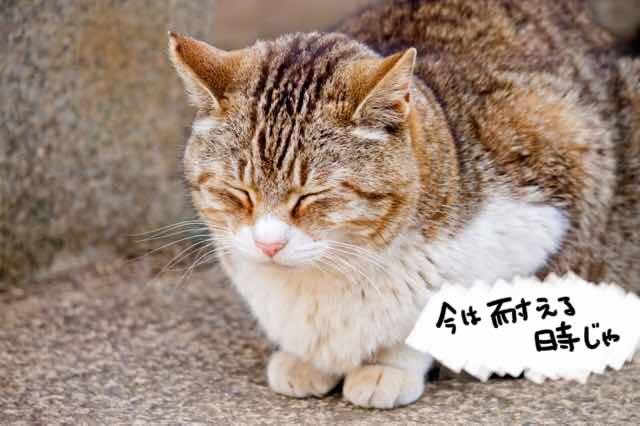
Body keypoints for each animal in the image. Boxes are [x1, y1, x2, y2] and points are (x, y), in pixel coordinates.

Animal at [168, 0, 639, 409]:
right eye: (238, 191)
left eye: (312, 195)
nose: (268, 244)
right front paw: (306, 358)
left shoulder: (559, 180)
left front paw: (390, 366)